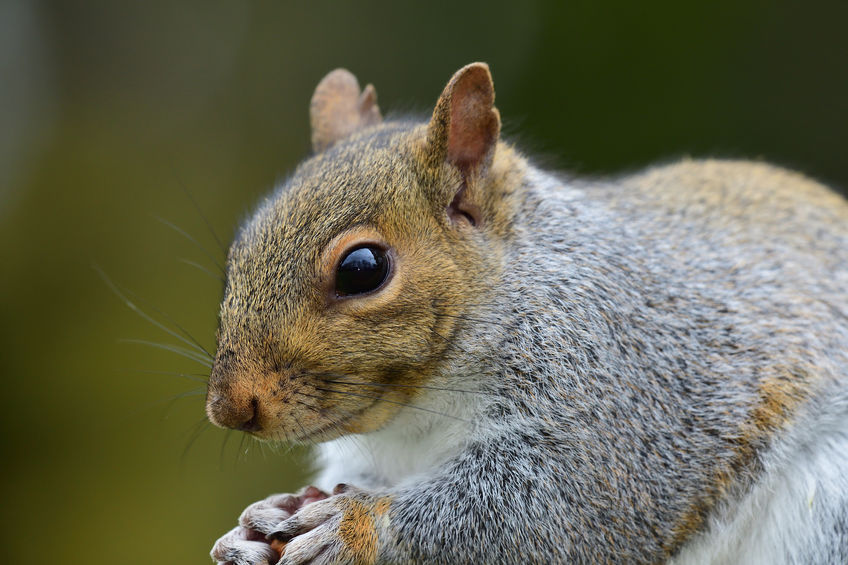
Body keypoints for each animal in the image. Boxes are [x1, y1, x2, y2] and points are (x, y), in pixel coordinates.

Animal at [205, 63, 848, 564]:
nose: (229, 409)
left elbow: (553, 509)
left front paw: (351, 527)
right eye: (238, 251)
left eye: (362, 269)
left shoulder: (619, 389)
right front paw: (260, 522)